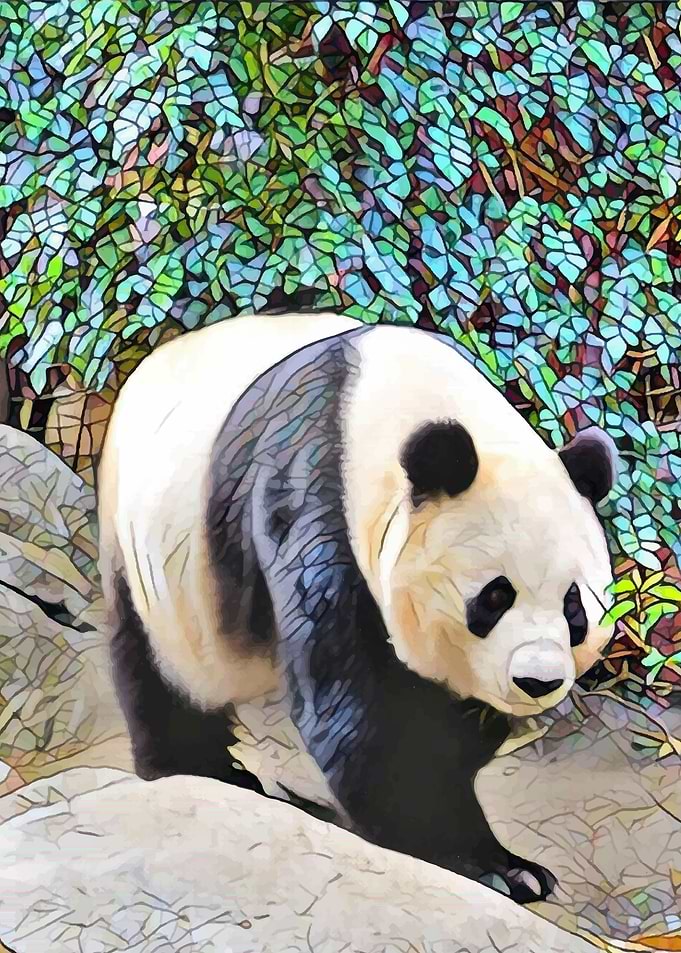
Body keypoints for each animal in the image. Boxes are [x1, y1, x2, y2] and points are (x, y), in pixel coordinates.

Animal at [97, 311, 617, 905]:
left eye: (575, 608)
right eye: (493, 597)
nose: (538, 681)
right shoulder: (311, 500)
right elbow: (364, 714)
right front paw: (497, 867)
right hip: (150, 555)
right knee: (155, 666)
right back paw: (200, 769)